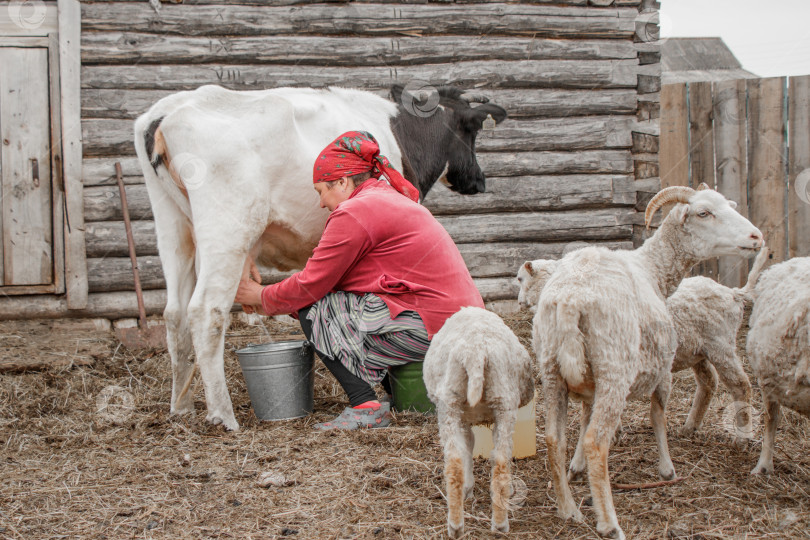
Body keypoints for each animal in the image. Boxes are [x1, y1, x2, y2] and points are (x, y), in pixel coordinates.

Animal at [420, 306, 532, 536]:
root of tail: (475, 352)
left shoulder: (461, 418)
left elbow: (467, 447)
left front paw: (468, 487)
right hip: (503, 404)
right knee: (500, 460)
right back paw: (496, 524)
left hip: (449, 405)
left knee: (454, 463)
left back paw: (456, 525)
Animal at [532, 184, 760, 536]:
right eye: (704, 212)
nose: (756, 237)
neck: (653, 269)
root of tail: (571, 300)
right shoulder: (662, 367)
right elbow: (658, 414)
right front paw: (667, 469)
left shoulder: (589, 386)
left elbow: (584, 420)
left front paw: (577, 469)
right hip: (614, 369)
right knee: (596, 443)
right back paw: (609, 523)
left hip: (552, 370)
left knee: (554, 439)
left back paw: (568, 509)